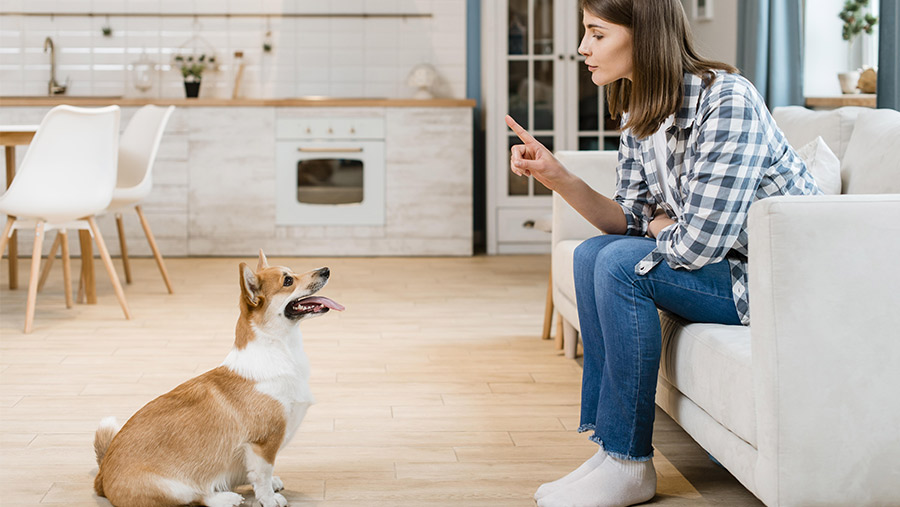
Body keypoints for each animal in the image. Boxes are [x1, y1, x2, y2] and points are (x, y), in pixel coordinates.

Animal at [92, 253, 344, 507]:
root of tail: (101, 475)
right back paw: (226, 497)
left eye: (291, 273)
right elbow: (262, 474)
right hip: (172, 488)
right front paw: (269, 499)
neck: (280, 350)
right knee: (197, 497)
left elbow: (258, 474)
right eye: (288, 281)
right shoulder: (263, 443)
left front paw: (270, 486)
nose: (326, 270)